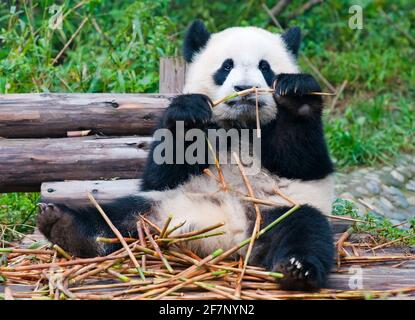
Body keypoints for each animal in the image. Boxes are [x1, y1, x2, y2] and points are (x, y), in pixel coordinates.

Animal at [38, 19, 334, 290]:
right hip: (161, 207)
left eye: (265, 67)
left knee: (304, 227)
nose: (244, 89)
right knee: (115, 217)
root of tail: (224, 237)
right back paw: (65, 227)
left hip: (271, 211)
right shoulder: (173, 167)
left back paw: (297, 269)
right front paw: (189, 112)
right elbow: (161, 173)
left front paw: (296, 93)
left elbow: (302, 161)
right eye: (226, 66)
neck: (241, 125)